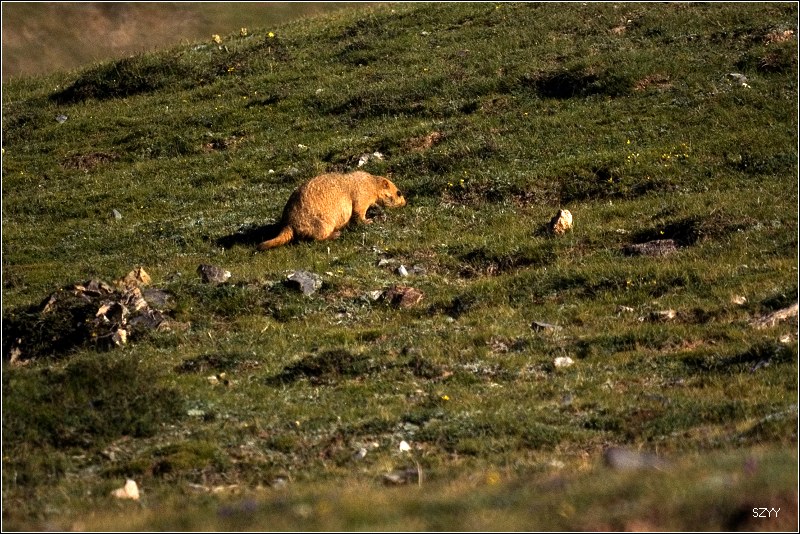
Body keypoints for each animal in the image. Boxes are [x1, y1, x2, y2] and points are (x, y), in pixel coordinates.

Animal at [257, 171, 406, 250]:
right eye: (398, 193)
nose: (405, 203)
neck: (372, 184)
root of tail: (288, 224)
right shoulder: (363, 194)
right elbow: (358, 209)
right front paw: (368, 220)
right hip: (322, 223)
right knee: (316, 238)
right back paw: (335, 234)